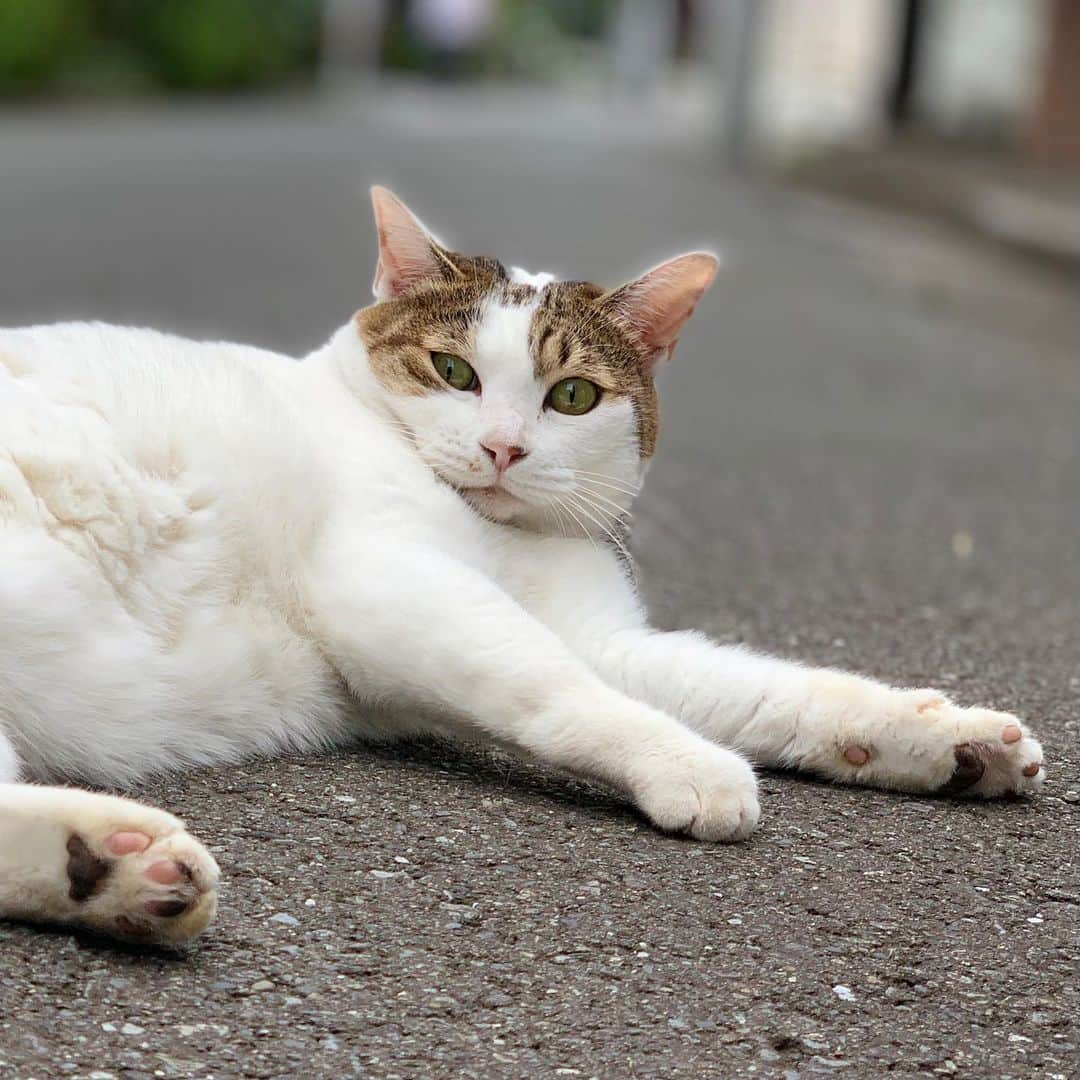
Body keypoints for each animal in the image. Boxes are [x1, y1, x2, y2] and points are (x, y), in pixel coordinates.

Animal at [0, 190, 1045, 950]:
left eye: (572, 396)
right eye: (452, 371)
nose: (502, 449)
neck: (501, 531)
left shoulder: (607, 639)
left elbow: (773, 692)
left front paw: (945, 740)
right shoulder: (393, 587)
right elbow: (556, 687)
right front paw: (690, 764)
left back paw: (112, 870)